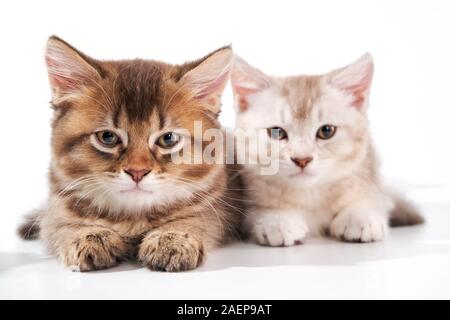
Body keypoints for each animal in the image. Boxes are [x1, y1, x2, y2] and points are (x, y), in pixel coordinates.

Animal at [18, 37, 243, 272]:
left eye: (168, 139)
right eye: (107, 137)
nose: (137, 172)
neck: (132, 217)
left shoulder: (216, 206)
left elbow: (196, 220)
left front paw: (173, 238)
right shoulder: (57, 205)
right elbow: (61, 224)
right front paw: (90, 235)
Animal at [230, 54, 424, 245]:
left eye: (326, 131)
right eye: (277, 132)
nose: (302, 159)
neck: (309, 194)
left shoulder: (369, 169)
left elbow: (373, 198)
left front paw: (359, 216)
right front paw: (277, 219)